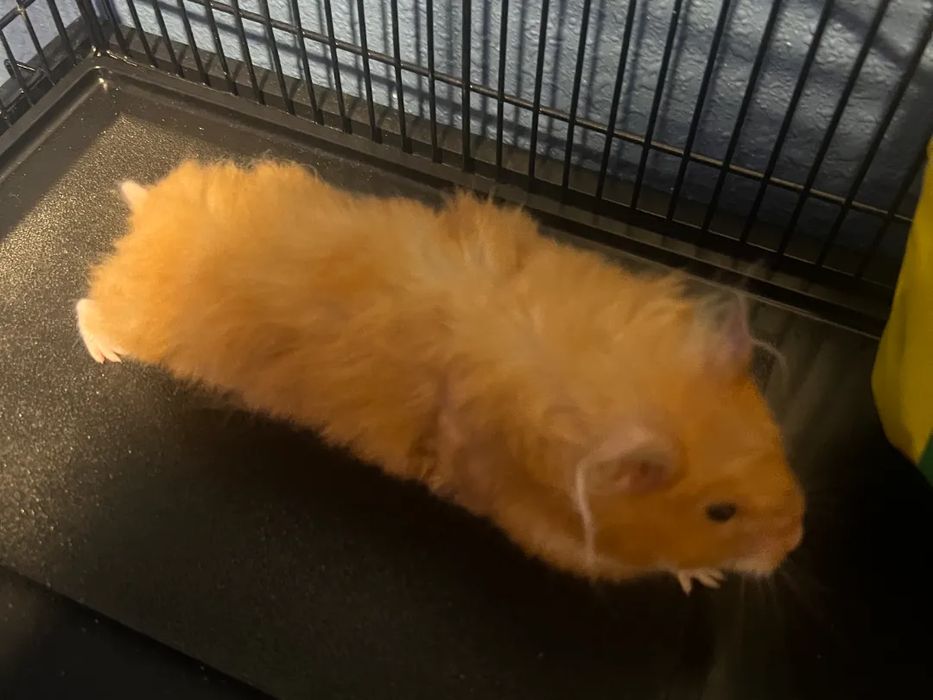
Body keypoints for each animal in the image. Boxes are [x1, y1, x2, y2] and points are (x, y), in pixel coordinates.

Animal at [77, 160, 804, 594]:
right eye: (720, 511)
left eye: (780, 448)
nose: (795, 544)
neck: (602, 378)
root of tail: (148, 213)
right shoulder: (539, 523)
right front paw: (703, 573)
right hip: (138, 317)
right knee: (87, 303)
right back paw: (101, 351)